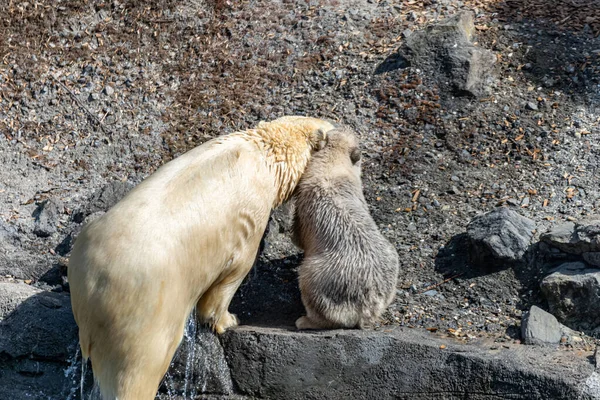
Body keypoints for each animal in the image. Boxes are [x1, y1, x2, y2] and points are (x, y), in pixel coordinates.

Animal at [68, 114, 336, 398]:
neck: (265, 155)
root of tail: (93, 290)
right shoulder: (252, 213)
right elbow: (234, 271)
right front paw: (228, 320)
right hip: (145, 311)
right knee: (139, 369)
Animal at [290, 128, 398, 332]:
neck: (333, 166)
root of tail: (368, 301)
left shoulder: (305, 200)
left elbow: (298, 234)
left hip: (325, 276)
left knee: (310, 286)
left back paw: (305, 321)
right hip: (390, 263)